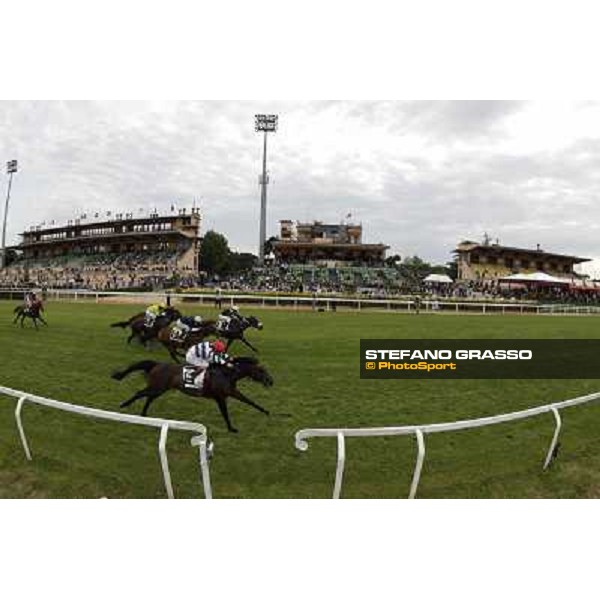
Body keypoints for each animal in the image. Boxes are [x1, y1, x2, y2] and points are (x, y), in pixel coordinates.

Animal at [111, 356, 274, 432]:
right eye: (261, 370)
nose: (271, 381)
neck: (227, 374)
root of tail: (156, 364)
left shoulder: (232, 392)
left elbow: (250, 401)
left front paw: (266, 412)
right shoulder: (221, 397)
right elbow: (225, 413)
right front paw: (231, 428)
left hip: (161, 389)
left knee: (149, 398)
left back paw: (144, 414)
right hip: (157, 387)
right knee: (140, 393)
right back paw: (125, 405)